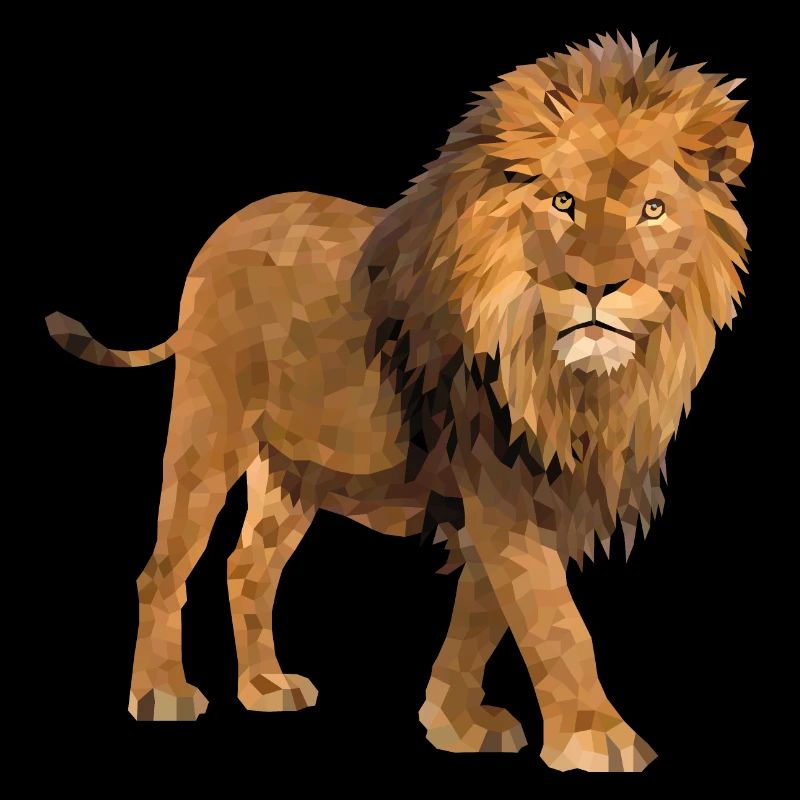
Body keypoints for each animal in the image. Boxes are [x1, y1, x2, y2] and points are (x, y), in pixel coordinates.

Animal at [47, 34, 752, 772]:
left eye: (653, 210)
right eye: (562, 202)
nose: (597, 286)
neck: (581, 381)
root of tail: (224, 230)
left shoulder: (532, 492)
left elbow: (481, 617)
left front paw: (455, 722)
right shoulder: (501, 485)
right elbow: (554, 621)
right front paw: (597, 737)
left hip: (295, 469)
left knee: (249, 568)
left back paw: (265, 687)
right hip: (208, 432)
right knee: (162, 568)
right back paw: (160, 694)